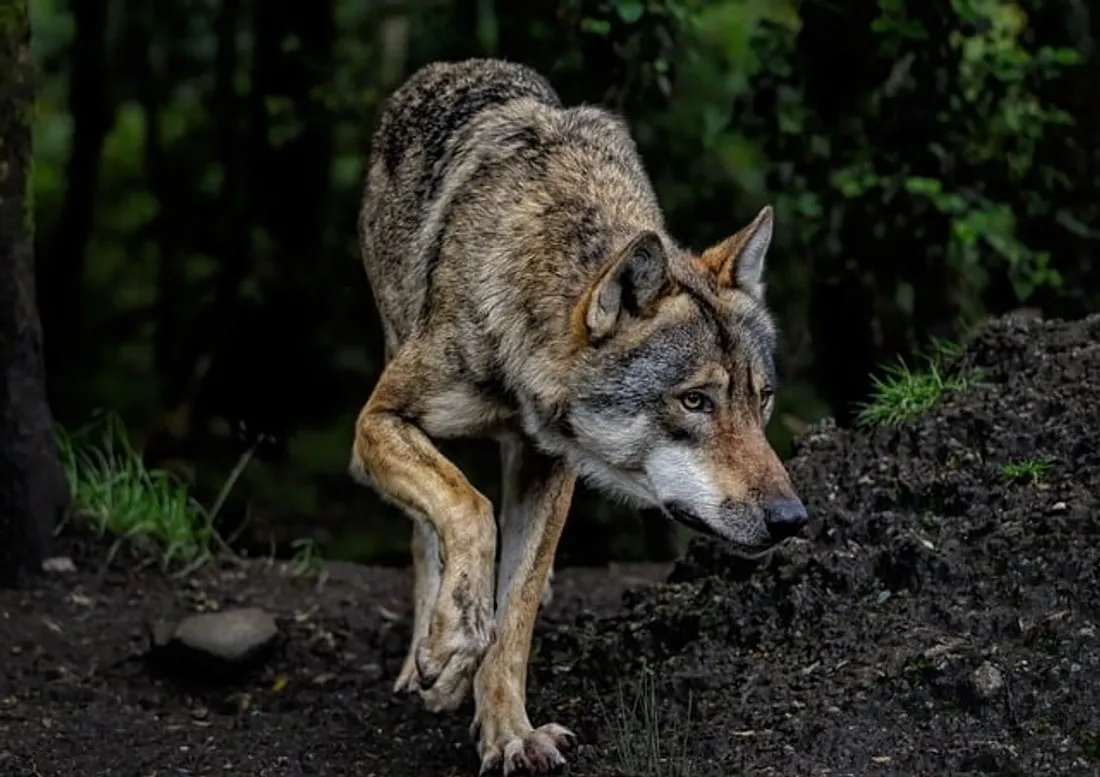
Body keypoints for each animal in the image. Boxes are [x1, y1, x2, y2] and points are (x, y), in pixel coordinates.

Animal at [349, 58, 808, 775]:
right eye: (694, 400)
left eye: (759, 399)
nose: (792, 519)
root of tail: (446, 70)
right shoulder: (377, 421)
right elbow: (468, 509)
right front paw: (451, 644)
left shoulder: (550, 466)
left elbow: (516, 612)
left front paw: (509, 733)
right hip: (393, 359)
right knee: (428, 532)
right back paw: (430, 653)